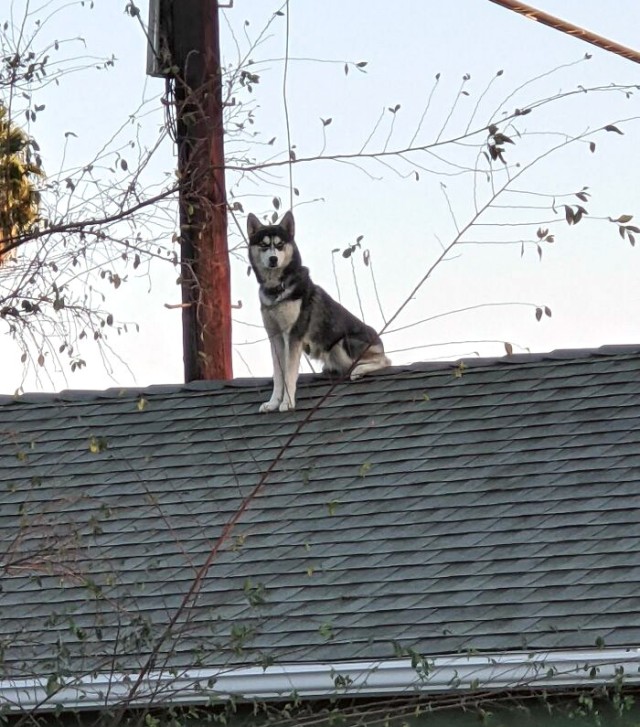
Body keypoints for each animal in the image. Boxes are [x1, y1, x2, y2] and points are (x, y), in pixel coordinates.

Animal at [249, 213, 390, 412]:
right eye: (263, 245)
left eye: (280, 244)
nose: (273, 259)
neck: (276, 288)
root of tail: (379, 341)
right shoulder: (275, 338)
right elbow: (278, 375)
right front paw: (273, 403)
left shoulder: (293, 336)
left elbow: (289, 374)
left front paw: (288, 403)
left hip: (342, 344)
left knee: (385, 361)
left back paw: (359, 370)